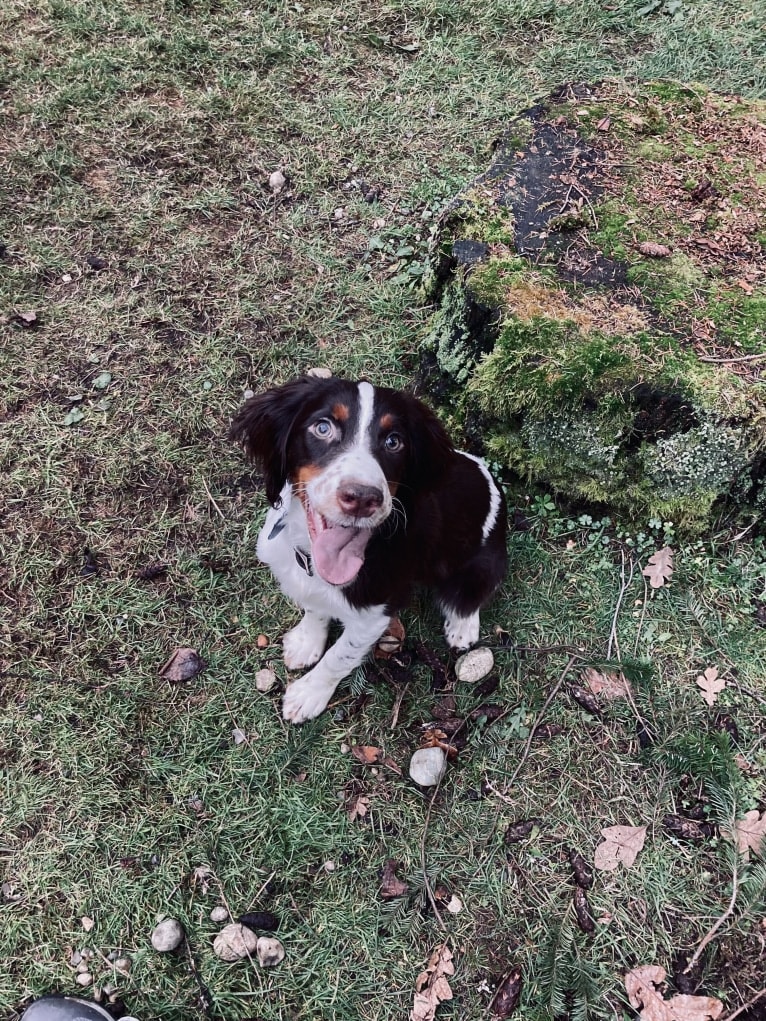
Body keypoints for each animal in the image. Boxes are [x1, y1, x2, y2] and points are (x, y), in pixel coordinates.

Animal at [230, 377, 512, 726]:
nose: (363, 498)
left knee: (470, 594)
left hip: (482, 560)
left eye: (394, 441)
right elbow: (314, 607)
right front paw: (306, 642)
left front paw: (308, 694)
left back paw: (462, 626)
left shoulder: (376, 611)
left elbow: (340, 655)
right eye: (322, 427)